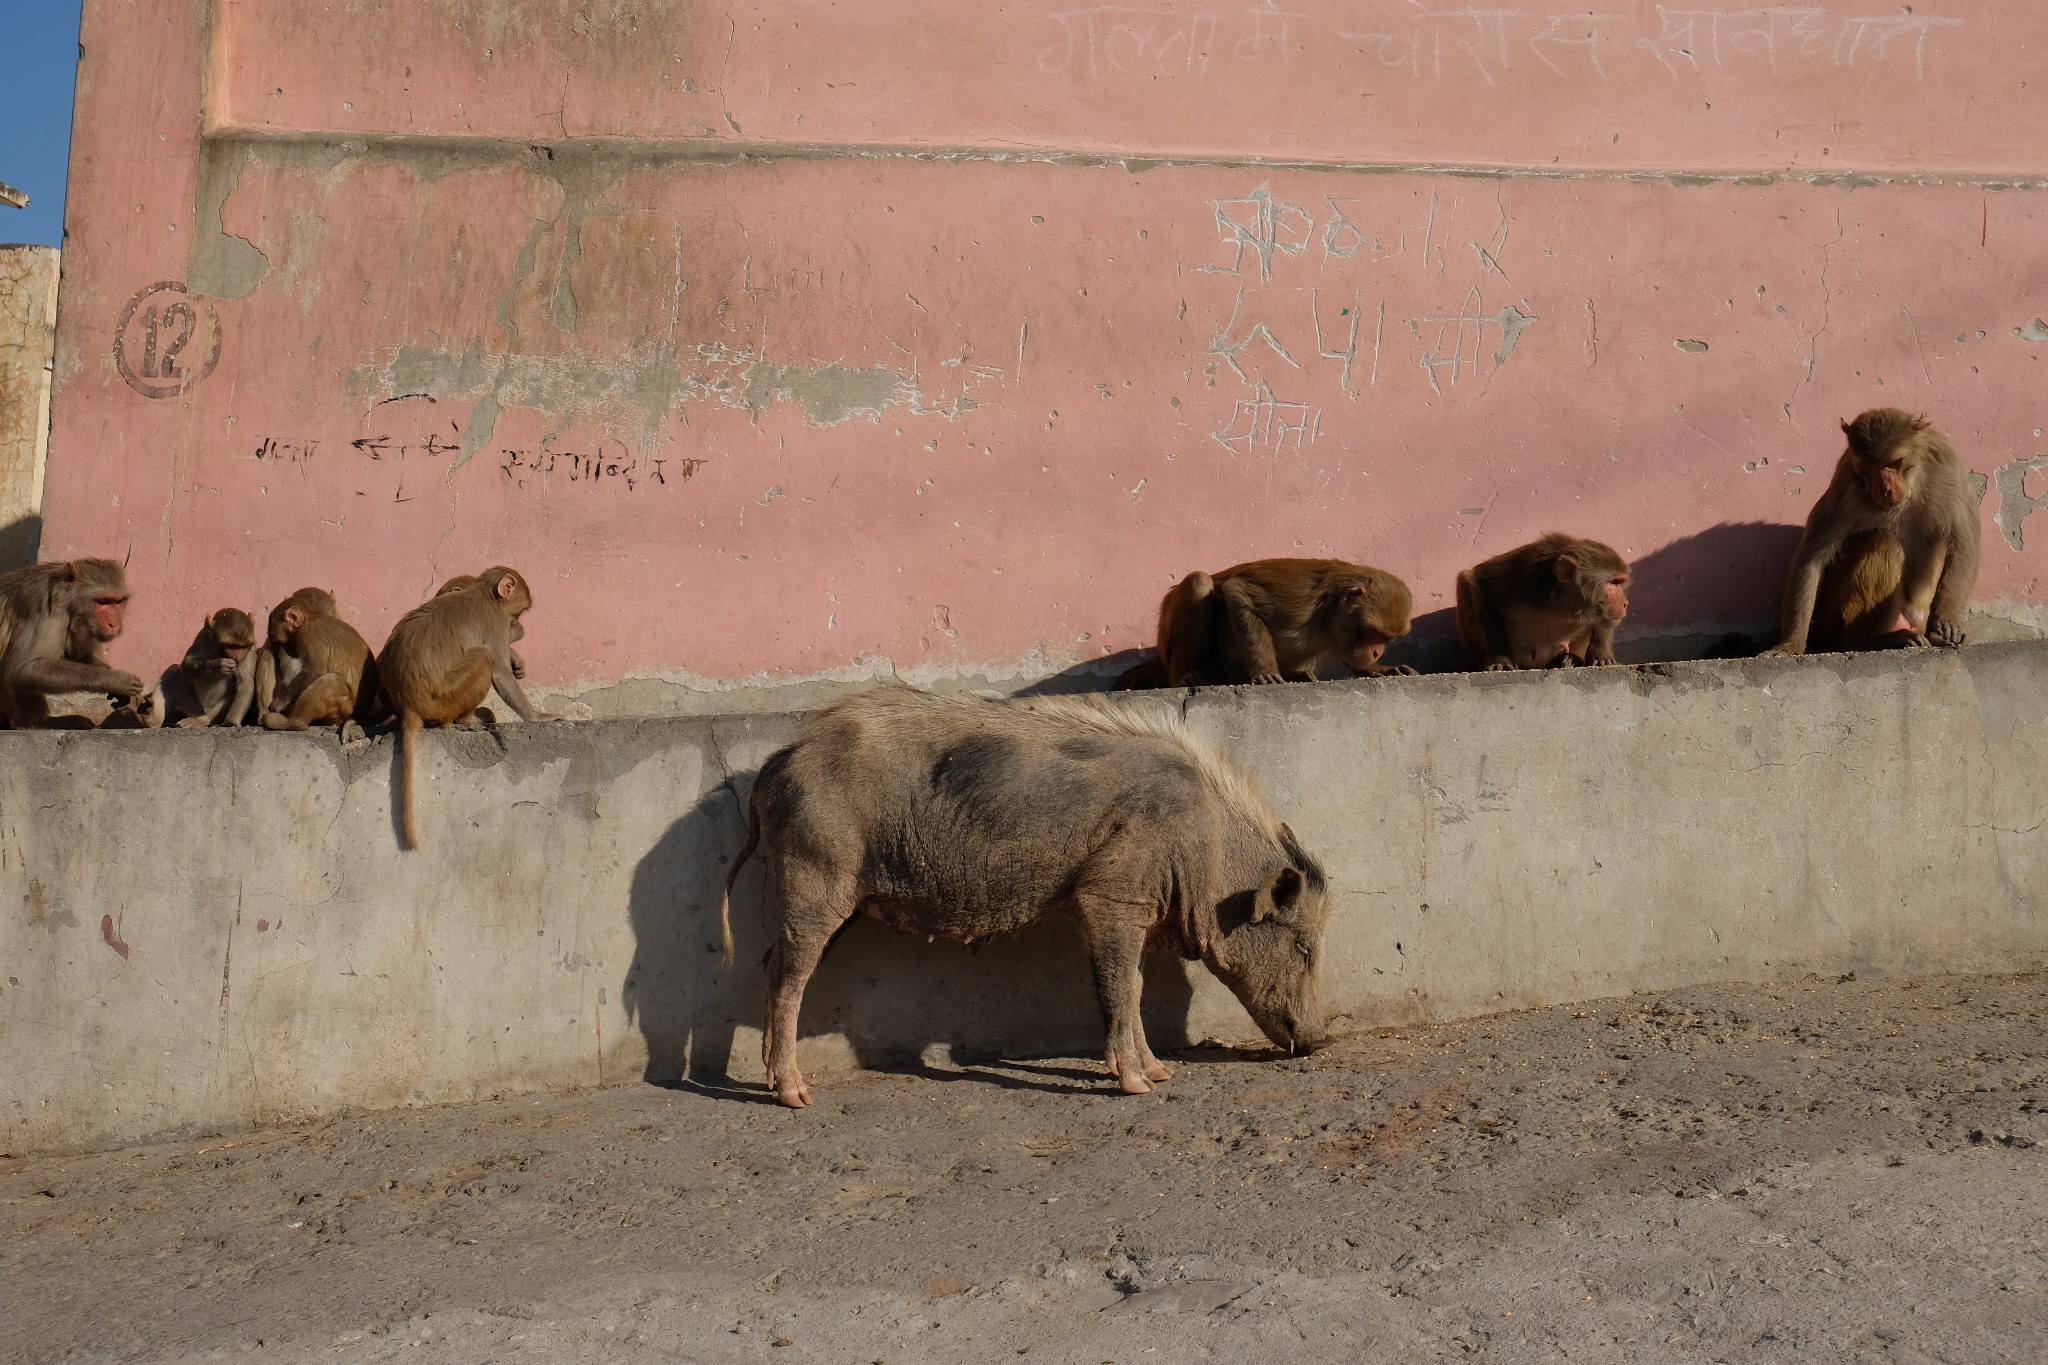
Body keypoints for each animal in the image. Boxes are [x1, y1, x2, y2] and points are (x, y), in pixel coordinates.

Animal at [729, 683, 1335, 1113]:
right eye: (1304, 947)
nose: (1322, 1040)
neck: (1205, 848)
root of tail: (778, 763)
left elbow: (1134, 985)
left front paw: (1162, 1072)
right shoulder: (1111, 895)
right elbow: (1122, 987)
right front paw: (1141, 1086)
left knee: (772, 963)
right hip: (814, 872)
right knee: (789, 974)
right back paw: (797, 1097)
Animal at [1130, 556, 1417, 687]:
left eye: (1387, 639)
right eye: (1370, 632)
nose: (1376, 651)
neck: (1325, 620)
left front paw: (1384, 668)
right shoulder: (1298, 605)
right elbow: (1237, 590)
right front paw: (1265, 670)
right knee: (1200, 581)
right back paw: (1185, 676)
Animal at [1458, 532, 1630, 671]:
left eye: (1620, 582)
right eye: (1613, 583)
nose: (1625, 603)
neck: (1563, 604)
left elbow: (1607, 620)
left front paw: (1601, 656)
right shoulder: (1523, 577)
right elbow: (1479, 583)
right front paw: (1500, 659)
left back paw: (1571, 659)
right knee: (1464, 580)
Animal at [1769, 409, 1974, 654]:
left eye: (1893, 463)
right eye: (1868, 469)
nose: (1885, 489)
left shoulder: (1946, 465)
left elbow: (1963, 543)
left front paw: (1946, 621)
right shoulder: (1845, 484)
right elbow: (1810, 559)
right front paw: (1789, 646)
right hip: (1833, 618)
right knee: (1884, 540)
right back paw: (1875, 641)